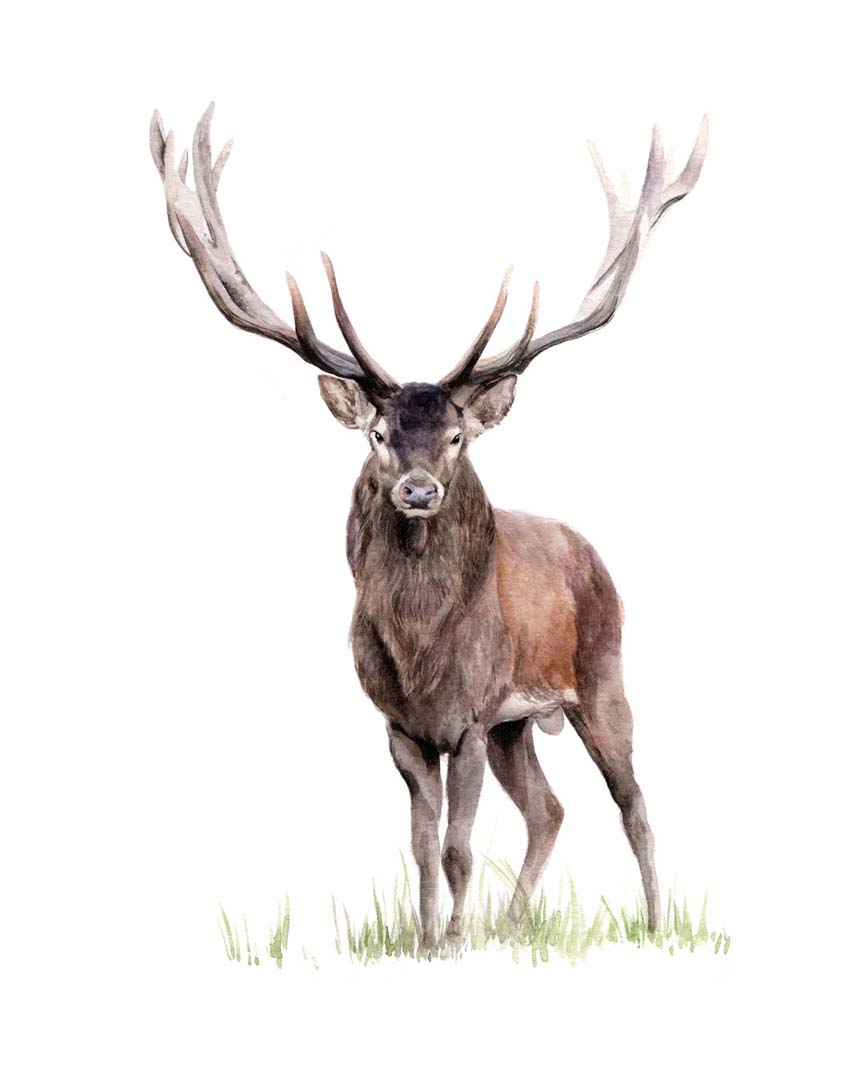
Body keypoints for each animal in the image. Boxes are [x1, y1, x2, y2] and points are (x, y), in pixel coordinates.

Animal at [150, 105, 707, 947]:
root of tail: (591, 553)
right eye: (379, 434)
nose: (417, 490)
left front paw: (451, 944)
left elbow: (456, 847)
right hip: (519, 725)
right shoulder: (402, 726)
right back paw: (513, 926)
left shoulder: (471, 717)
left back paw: (653, 922)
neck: (421, 651)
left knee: (633, 802)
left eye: (456, 436)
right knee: (549, 809)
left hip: (599, 677)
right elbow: (418, 844)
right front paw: (421, 942)